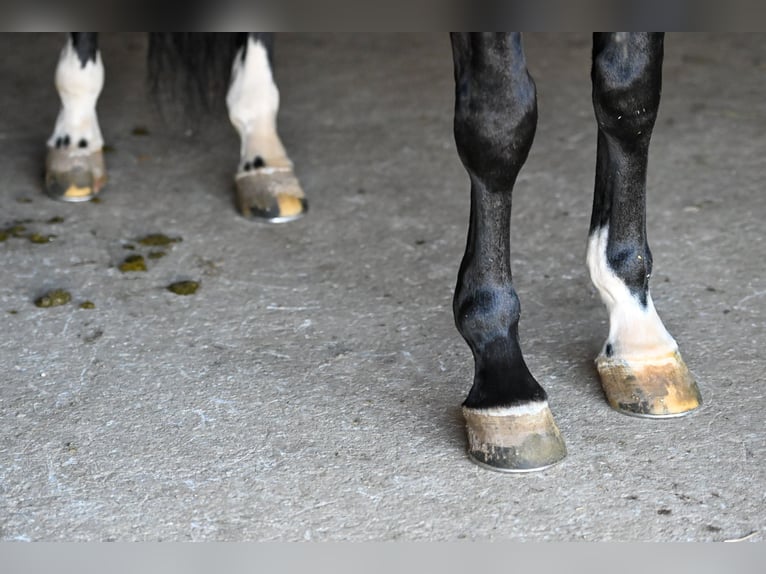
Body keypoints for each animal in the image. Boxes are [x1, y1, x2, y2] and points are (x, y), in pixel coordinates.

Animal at [44, 32, 702, 473]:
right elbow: (499, 120)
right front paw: (503, 374)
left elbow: (628, 91)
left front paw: (637, 331)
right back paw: (75, 140)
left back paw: (263, 153)